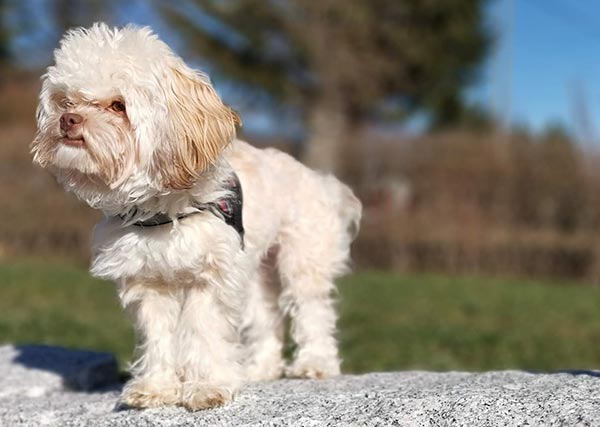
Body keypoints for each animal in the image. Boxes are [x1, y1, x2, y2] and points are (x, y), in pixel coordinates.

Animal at [31, 23, 360, 412]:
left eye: (118, 105)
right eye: (65, 101)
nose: (67, 119)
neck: (161, 211)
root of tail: (319, 180)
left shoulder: (209, 277)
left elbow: (203, 333)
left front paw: (206, 387)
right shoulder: (148, 282)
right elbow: (159, 337)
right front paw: (156, 387)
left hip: (301, 259)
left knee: (312, 309)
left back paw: (314, 363)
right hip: (253, 274)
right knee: (266, 319)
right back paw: (259, 369)